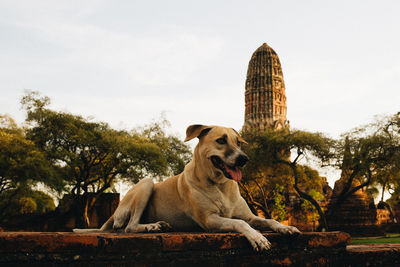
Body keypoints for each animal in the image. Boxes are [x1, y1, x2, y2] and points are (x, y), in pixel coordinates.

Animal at [75, 124, 300, 252]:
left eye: (238, 142)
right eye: (221, 140)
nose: (244, 159)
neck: (219, 184)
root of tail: (114, 213)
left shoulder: (249, 215)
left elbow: (268, 220)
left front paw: (285, 227)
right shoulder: (210, 220)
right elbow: (241, 224)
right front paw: (257, 238)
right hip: (146, 183)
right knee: (129, 227)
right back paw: (151, 227)